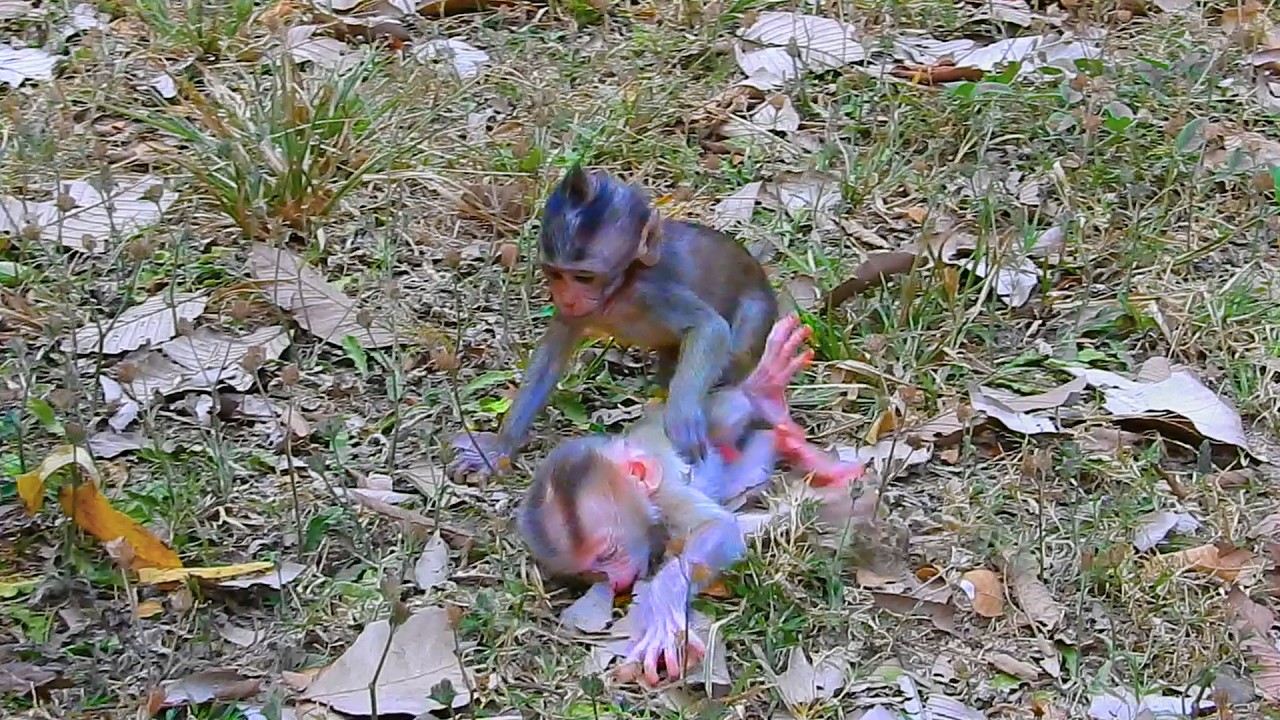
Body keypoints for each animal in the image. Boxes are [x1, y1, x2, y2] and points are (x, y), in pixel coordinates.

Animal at [449, 165, 779, 481]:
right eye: (555, 274)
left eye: (583, 277)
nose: (567, 298)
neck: (617, 291)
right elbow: (551, 357)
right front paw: (499, 448)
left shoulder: (652, 291)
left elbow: (710, 328)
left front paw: (681, 419)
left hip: (758, 310)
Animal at [516, 315, 867, 685]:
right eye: (590, 572)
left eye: (608, 553)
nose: (615, 581)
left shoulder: (666, 495)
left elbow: (718, 528)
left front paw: (663, 602)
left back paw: (761, 394)